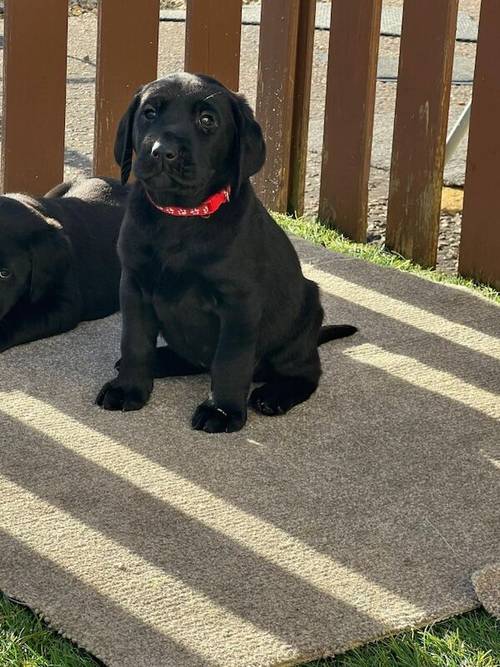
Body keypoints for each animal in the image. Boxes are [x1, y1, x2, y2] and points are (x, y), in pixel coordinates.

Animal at [96, 74, 356, 434]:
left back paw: (275, 394)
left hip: (302, 318)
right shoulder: (134, 286)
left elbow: (230, 361)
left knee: (307, 373)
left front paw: (222, 411)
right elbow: (134, 341)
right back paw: (160, 360)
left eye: (208, 120)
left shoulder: (239, 303)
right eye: (149, 113)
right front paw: (128, 388)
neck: (181, 217)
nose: (163, 152)